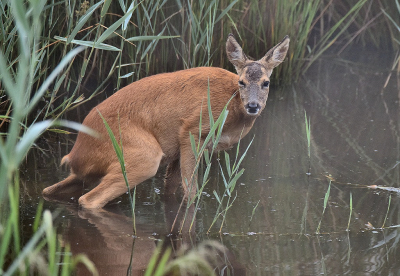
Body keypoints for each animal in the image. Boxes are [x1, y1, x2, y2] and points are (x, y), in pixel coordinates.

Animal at [43, 34, 288, 209]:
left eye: (266, 82)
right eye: (242, 82)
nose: (253, 106)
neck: (232, 106)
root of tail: (76, 154)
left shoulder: (176, 148)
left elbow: (170, 189)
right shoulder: (191, 131)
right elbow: (191, 192)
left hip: (84, 173)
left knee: (50, 190)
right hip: (143, 155)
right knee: (89, 200)